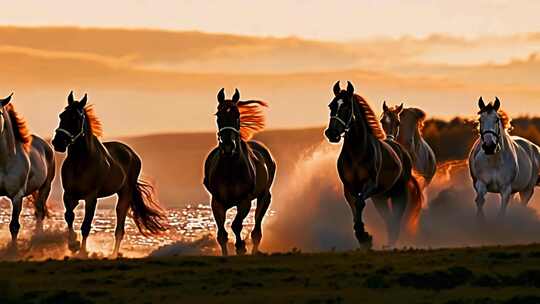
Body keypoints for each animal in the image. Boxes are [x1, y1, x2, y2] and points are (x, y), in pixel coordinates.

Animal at [53, 91, 168, 256]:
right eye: (62, 115)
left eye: (76, 118)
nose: (58, 142)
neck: (80, 162)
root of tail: (132, 154)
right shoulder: (69, 195)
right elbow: (69, 216)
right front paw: (73, 244)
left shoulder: (91, 197)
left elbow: (86, 226)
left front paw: (82, 251)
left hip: (125, 194)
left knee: (119, 227)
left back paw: (114, 254)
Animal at [204, 88, 276, 256]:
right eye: (218, 115)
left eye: (237, 115)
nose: (228, 146)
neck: (230, 168)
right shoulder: (217, 202)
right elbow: (222, 234)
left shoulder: (244, 201)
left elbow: (236, 225)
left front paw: (241, 247)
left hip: (264, 197)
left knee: (257, 230)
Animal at [322, 81, 424, 247]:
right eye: (331, 106)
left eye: (347, 106)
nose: (332, 133)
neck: (356, 152)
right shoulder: (348, 188)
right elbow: (354, 208)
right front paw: (362, 236)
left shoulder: (370, 184)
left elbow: (359, 203)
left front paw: (365, 236)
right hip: (380, 198)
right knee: (388, 219)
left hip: (399, 192)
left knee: (396, 218)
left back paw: (392, 243)